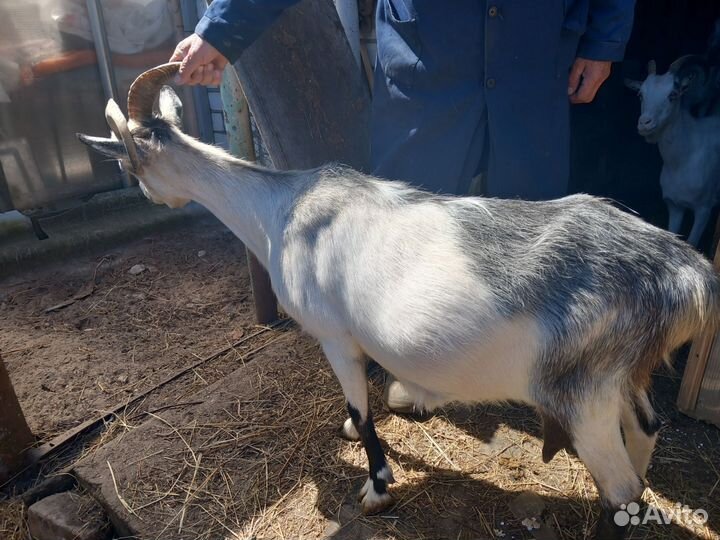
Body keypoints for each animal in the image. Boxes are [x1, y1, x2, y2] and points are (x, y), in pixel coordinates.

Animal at [626, 60, 720, 247]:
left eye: (673, 95)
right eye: (640, 94)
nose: (645, 123)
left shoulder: (703, 209)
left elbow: (692, 243)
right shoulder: (675, 206)